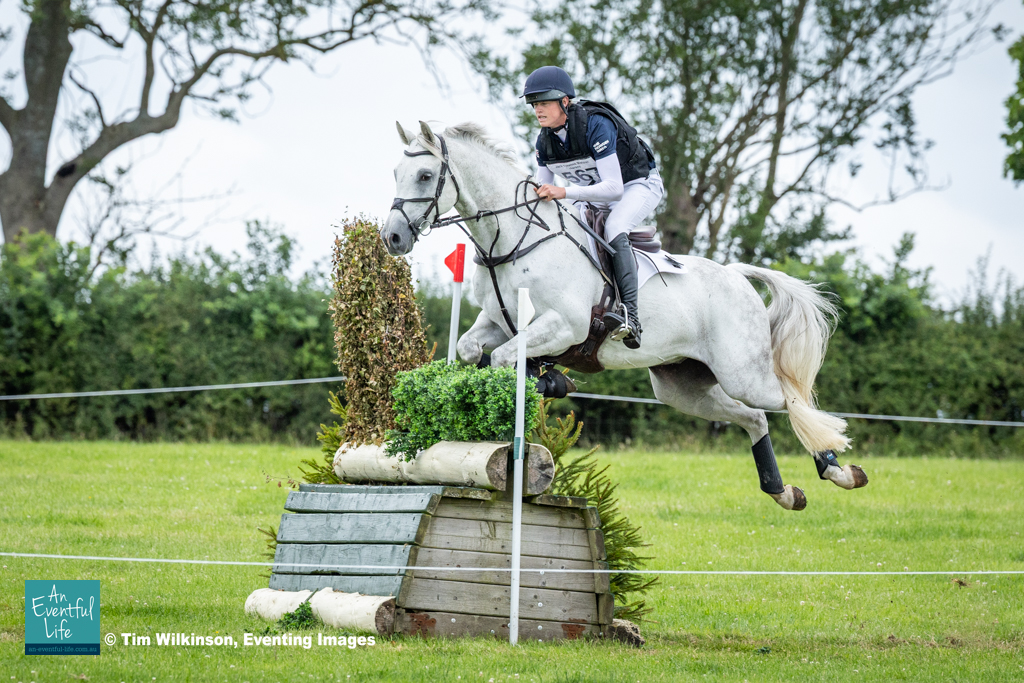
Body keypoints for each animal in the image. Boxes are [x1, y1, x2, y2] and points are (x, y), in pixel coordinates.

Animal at [381, 120, 868, 511]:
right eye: (396, 173)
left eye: (425, 174)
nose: (393, 237)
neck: (513, 238)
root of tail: (735, 274)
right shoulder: (497, 322)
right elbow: (470, 350)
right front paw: (546, 382)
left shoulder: (565, 325)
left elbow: (504, 360)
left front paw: (542, 384)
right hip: (681, 385)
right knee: (756, 418)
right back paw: (784, 492)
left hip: (743, 373)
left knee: (791, 401)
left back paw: (840, 471)